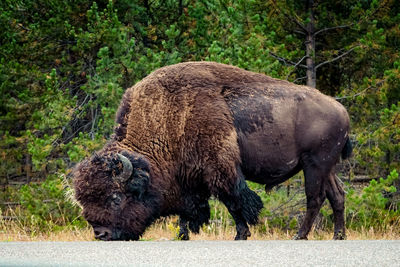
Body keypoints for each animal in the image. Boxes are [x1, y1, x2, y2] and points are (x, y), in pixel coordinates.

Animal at [72, 61, 350, 242]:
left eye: (115, 198)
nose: (101, 234)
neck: (168, 118)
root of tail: (341, 110)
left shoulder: (219, 169)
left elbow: (234, 200)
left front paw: (241, 235)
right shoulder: (188, 178)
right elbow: (189, 210)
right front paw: (182, 234)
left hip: (314, 165)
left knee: (314, 198)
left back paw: (300, 236)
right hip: (326, 167)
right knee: (337, 195)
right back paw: (338, 236)